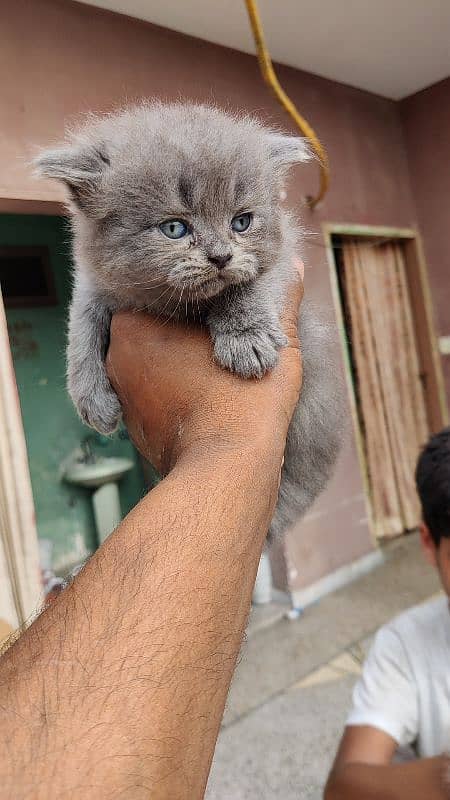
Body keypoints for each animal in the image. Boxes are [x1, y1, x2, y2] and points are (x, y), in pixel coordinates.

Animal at [35, 101, 342, 536]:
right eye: (174, 228)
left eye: (242, 222)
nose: (221, 256)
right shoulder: (96, 284)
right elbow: (81, 326)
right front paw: (90, 397)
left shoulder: (283, 261)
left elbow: (252, 284)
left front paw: (245, 338)